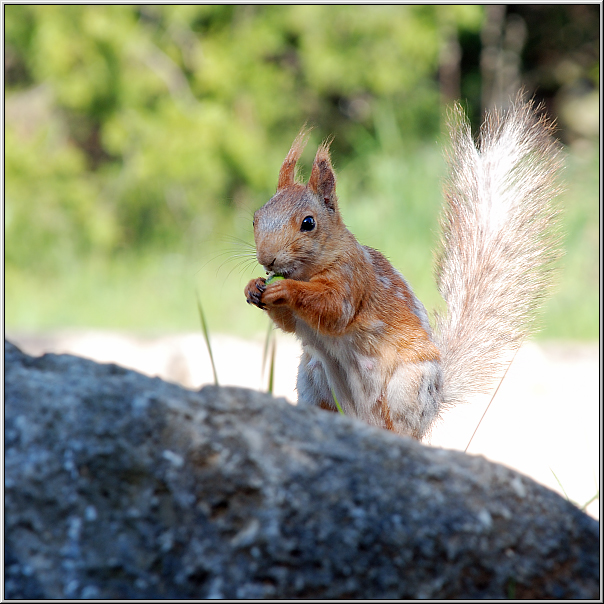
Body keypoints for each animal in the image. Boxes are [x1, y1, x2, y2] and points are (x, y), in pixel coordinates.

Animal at [244, 98, 560, 438]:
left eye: (308, 223)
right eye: (256, 218)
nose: (267, 258)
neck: (308, 272)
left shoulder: (354, 279)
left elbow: (334, 309)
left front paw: (284, 289)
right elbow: (289, 323)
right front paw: (253, 287)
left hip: (408, 388)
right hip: (314, 381)